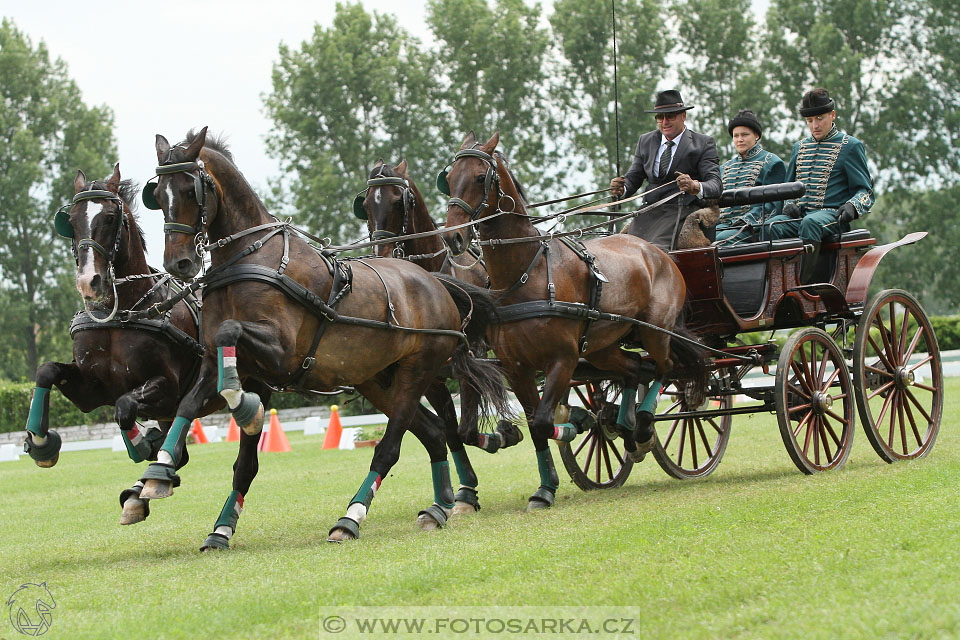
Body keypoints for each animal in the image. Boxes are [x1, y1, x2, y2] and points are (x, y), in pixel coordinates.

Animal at [27, 164, 222, 524]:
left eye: (109, 218)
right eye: (71, 220)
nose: (89, 282)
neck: (123, 313)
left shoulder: (166, 387)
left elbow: (124, 406)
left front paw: (143, 444)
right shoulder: (91, 390)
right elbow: (46, 371)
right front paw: (41, 442)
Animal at [137, 127, 510, 548]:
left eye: (190, 190)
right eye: (158, 194)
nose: (178, 263)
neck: (250, 259)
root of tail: (436, 282)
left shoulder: (280, 353)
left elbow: (233, 339)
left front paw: (247, 410)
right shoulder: (223, 361)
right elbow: (193, 407)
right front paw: (160, 475)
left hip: (419, 371)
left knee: (392, 447)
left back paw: (352, 517)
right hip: (377, 379)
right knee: (434, 433)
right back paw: (440, 505)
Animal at [440, 131, 704, 510]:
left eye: (479, 177)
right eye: (448, 179)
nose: (453, 237)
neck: (527, 272)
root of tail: (657, 252)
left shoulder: (562, 360)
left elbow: (543, 421)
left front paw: (570, 433)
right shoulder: (517, 367)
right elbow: (534, 424)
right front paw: (546, 483)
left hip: (656, 332)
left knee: (664, 367)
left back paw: (641, 428)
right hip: (601, 348)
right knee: (635, 369)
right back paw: (624, 426)